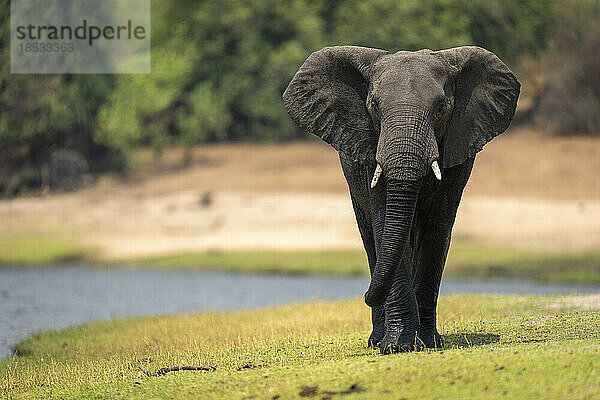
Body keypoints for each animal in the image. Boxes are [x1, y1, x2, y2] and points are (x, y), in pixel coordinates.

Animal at [282, 45, 520, 354]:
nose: (365, 294)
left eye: (441, 109)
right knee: (372, 240)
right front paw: (397, 346)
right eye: (374, 106)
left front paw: (428, 343)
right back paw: (376, 340)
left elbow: (438, 227)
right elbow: (385, 223)